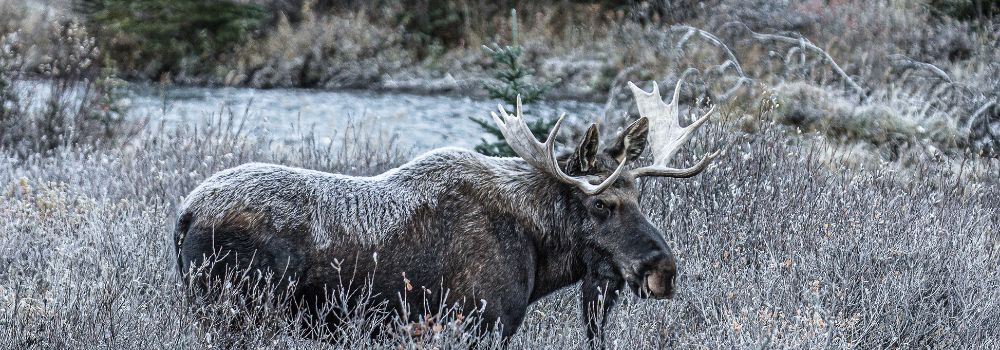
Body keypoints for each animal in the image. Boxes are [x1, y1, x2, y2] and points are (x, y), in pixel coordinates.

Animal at [172, 78, 720, 342]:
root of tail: (183, 216)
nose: (663, 269)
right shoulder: (485, 322)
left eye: (640, 199)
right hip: (235, 311)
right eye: (602, 202)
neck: (539, 251)